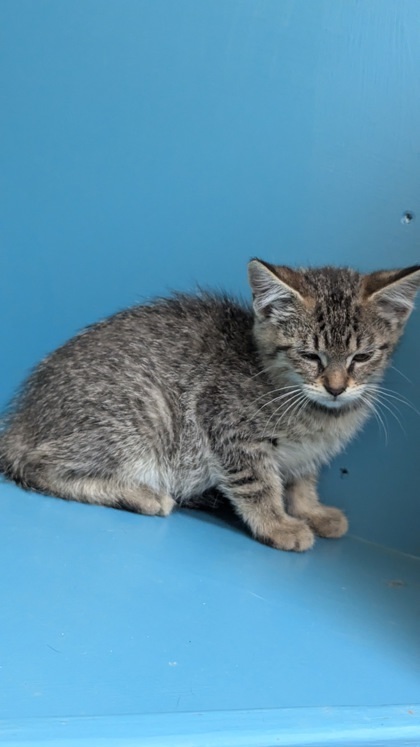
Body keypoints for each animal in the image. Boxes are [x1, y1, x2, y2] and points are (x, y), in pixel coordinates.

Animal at [0, 260, 418, 552]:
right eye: (310, 356)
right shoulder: (225, 421)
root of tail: (21, 419)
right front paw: (278, 524)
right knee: (37, 465)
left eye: (361, 357)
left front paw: (311, 510)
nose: (336, 388)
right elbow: (259, 483)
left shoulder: (309, 452)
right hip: (139, 418)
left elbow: (302, 479)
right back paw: (142, 495)